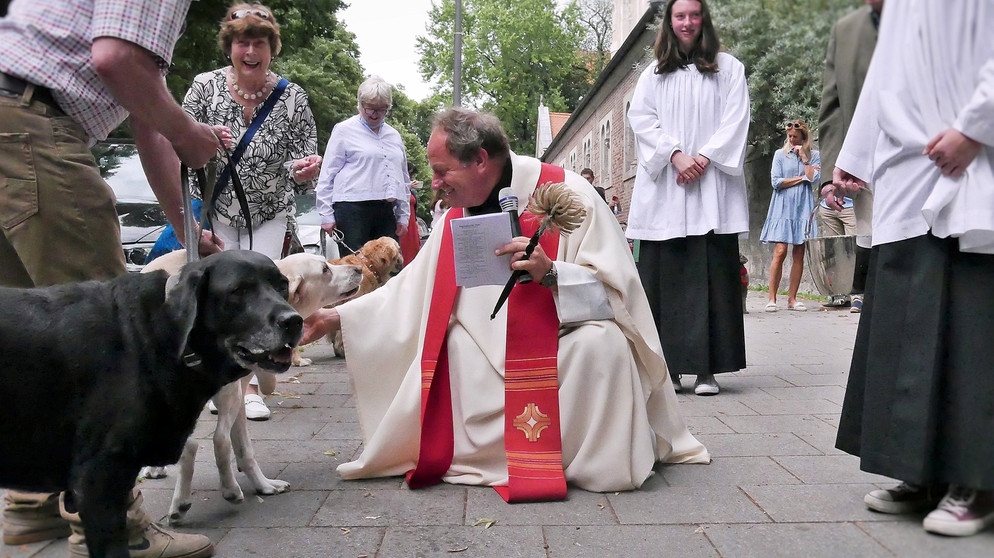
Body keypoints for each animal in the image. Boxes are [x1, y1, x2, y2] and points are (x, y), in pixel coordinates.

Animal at [138, 252, 358, 524]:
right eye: (325, 269)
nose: (359, 269)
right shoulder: (236, 394)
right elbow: (241, 447)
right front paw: (263, 485)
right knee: (213, 441)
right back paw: (224, 491)